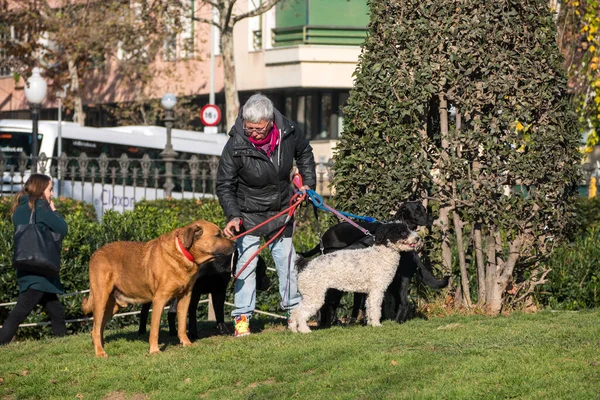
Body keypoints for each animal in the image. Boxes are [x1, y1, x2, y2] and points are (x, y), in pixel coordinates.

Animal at [81, 220, 234, 358]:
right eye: (218, 235)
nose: (235, 244)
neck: (182, 253)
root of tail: (95, 253)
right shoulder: (159, 299)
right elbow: (154, 330)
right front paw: (154, 350)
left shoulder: (185, 297)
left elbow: (182, 325)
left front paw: (186, 343)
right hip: (100, 299)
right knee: (95, 329)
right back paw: (100, 352)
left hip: (112, 306)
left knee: (98, 328)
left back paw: (100, 346)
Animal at [138, 253, 270, 338]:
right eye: (263, 269)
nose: (269, 283)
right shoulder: (194, 291)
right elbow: (192, 312)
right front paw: (193, 333)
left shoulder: (219, 291)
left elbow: (219, 312)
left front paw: (223, 329)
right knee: (144, 311)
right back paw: (141, 330)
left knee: (171, 312)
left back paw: (173, 332)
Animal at [290, 223, 422, 332]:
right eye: (403, 232)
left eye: (409, 228)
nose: (418, 238)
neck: (381, 255)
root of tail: (306, 264)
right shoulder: (377, 290)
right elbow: (375, 309)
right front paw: (377, 324)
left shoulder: (369, 293)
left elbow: (369, 308)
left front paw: (370, 324)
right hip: (314, 296)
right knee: (301, 313)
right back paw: (305, 330)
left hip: (309, 295)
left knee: (294, 312)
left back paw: (293, 329)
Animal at [302, 202, 448, 326]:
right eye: (417, 211)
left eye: (424, 210)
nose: (431, 218)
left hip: (399, 281)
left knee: (403, 302)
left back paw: (395, 321)